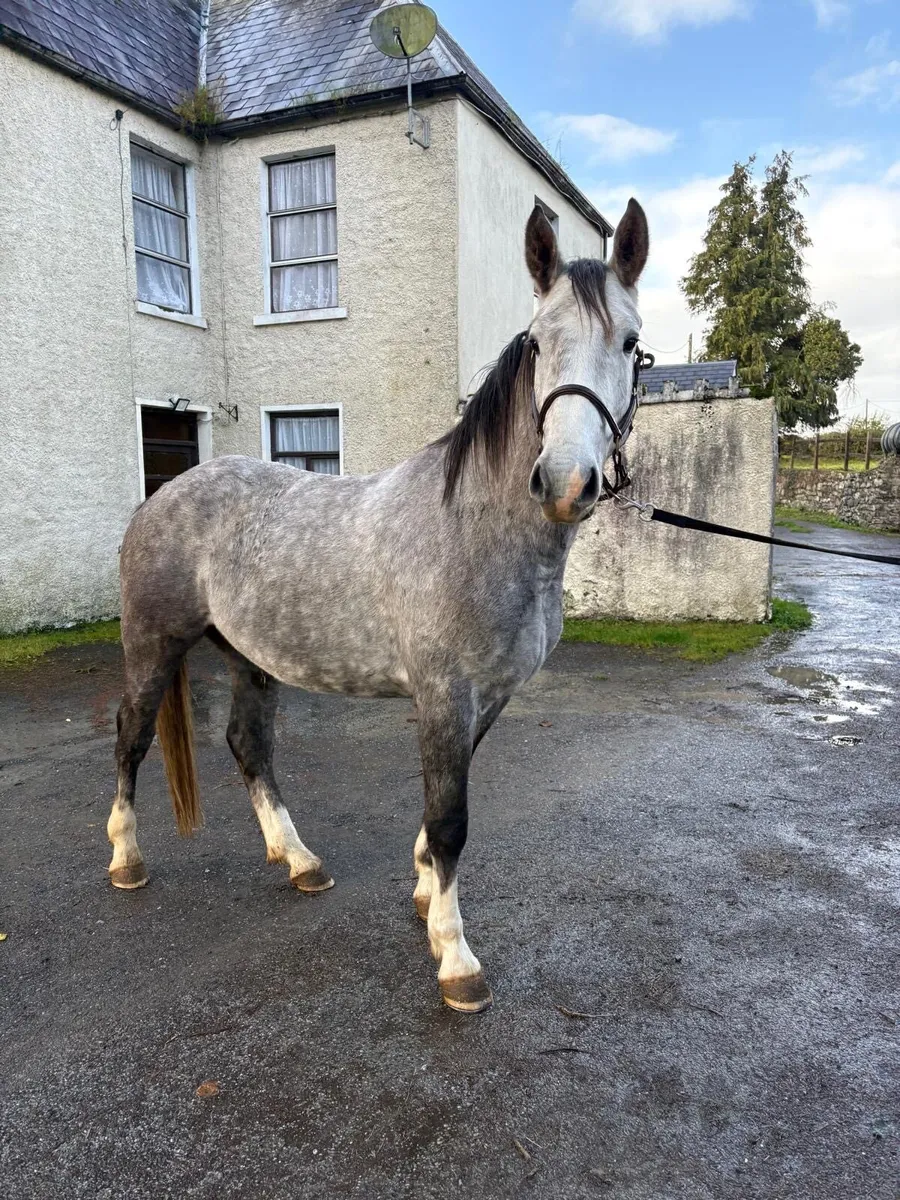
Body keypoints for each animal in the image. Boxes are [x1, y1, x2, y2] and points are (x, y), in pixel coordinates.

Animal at [106, 199, 649, 1013]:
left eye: (631, 342)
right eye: (537, 342)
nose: (564, 481)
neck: (476, 529)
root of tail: (163, 495)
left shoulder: (486, 697)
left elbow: (441, 811)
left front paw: (425, 894)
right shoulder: (445, 693)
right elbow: (451, 820)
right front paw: (455, 959)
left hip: (248, 656)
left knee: (247, 744)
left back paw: (299, 861)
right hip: (152, 645)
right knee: (131, 739)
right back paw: (127, 859)